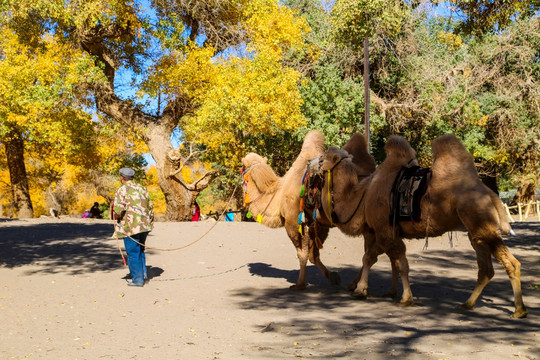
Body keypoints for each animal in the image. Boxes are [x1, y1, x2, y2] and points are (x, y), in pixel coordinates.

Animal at [239, 131, 338, 288]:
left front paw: (299, 284)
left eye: (241, 166)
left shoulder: (293, 221)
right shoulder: (317, 223)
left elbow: (303, 254)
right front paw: (333, 277)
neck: (278, 196)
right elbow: (313, 254)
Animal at [320, 134, 528, 318]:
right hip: (476, 231)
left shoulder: (383, 231)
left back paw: (519, 311)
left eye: (329, 156)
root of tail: (491, 194)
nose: (318, 162)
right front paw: (390, 292)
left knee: (512, 263)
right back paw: (467, 304)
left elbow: (377, 260)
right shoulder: (390, 233)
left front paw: (372, 292)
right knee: (485, 269)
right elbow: (393, 262)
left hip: (482, 223)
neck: (363, 196)